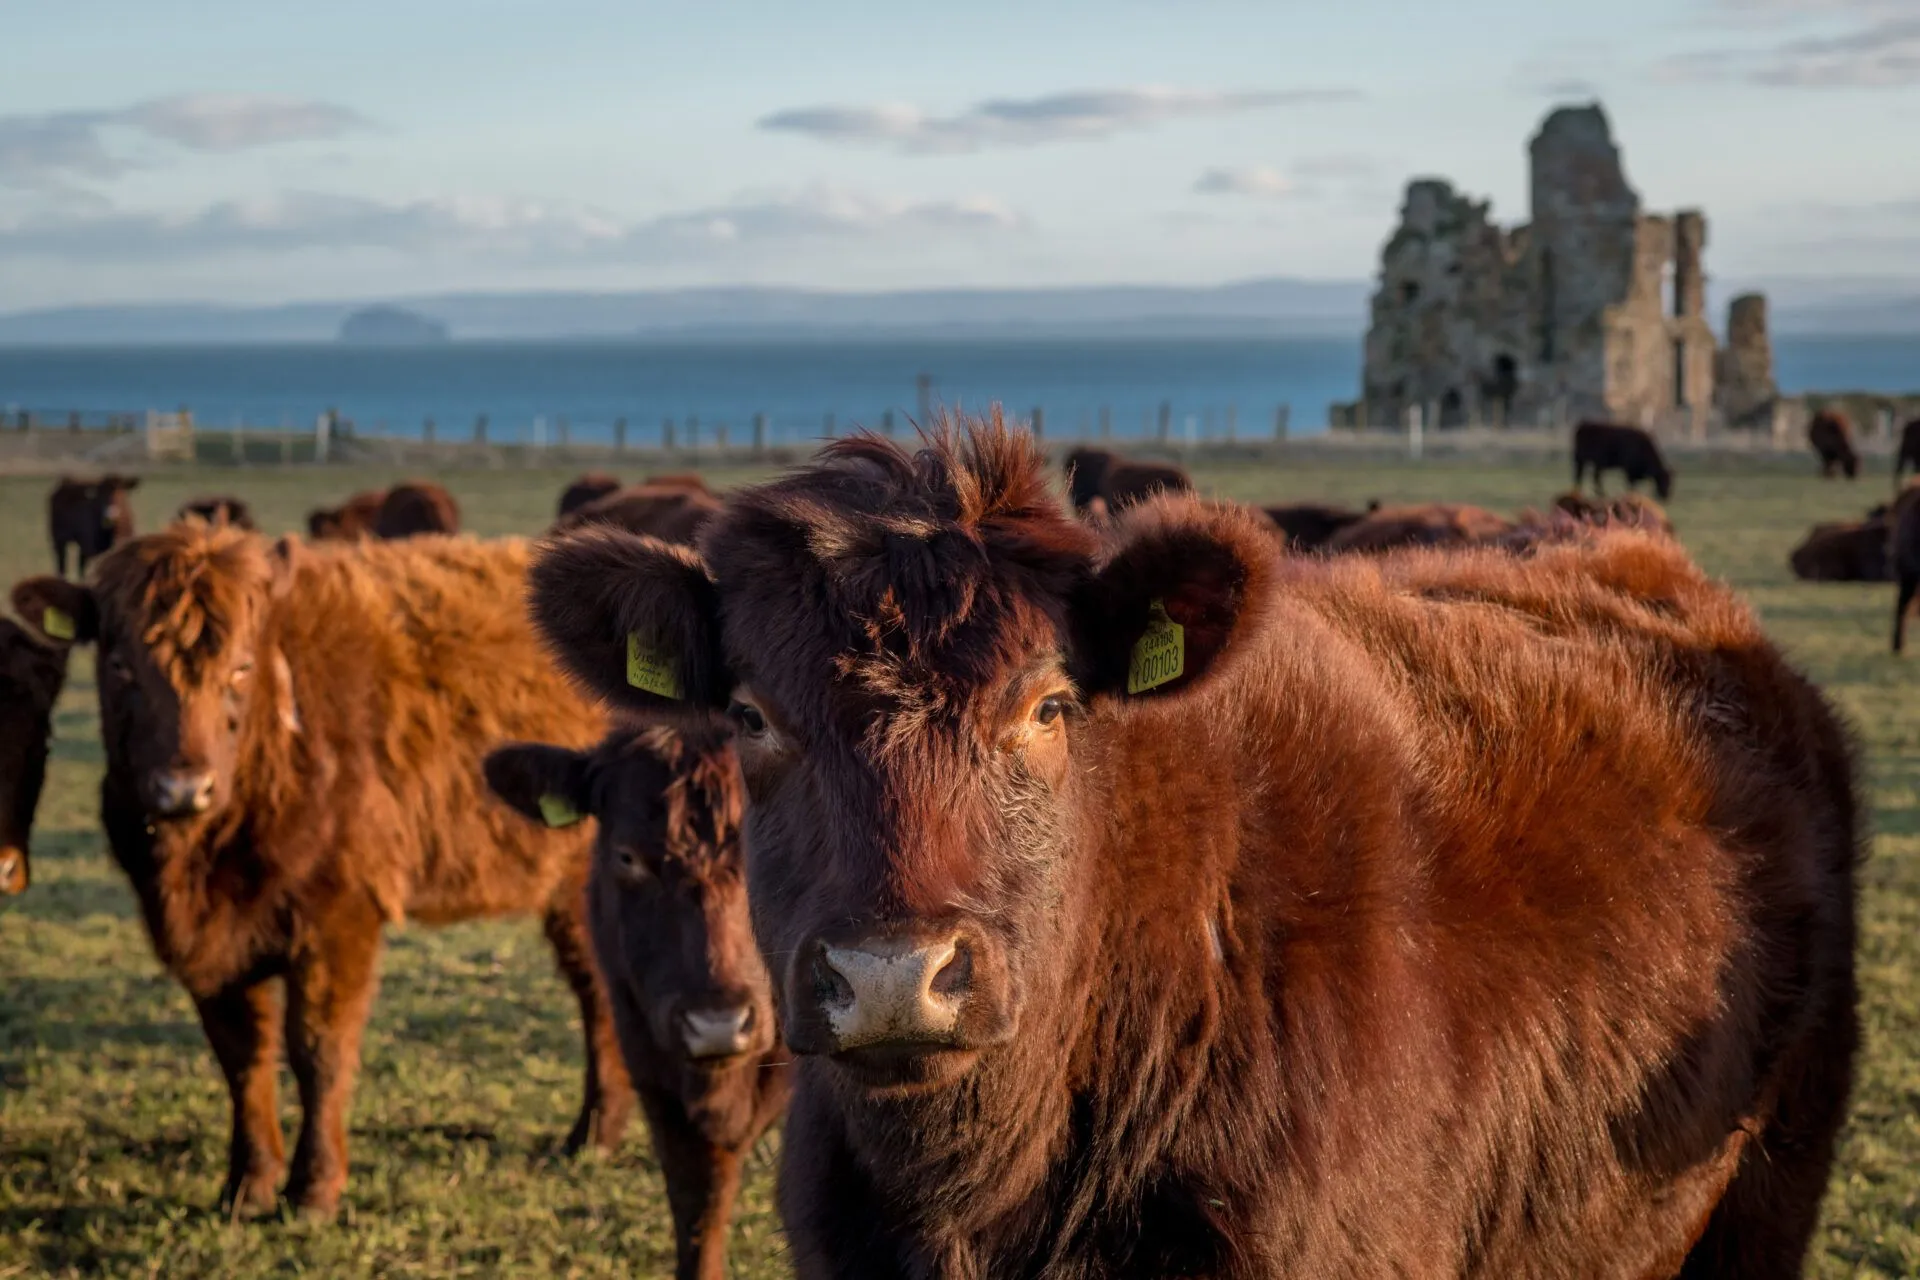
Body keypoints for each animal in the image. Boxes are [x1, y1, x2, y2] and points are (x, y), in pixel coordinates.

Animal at [10, 526, 632, 1218]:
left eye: (240, 668)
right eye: (120, 668)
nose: (183, 788)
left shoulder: (339, 923)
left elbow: (318, 1051)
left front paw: (313, 1189)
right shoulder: (215, 950)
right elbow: (243, 1058)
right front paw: (247, 1185)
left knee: (599, 994)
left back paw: (596, 1134)